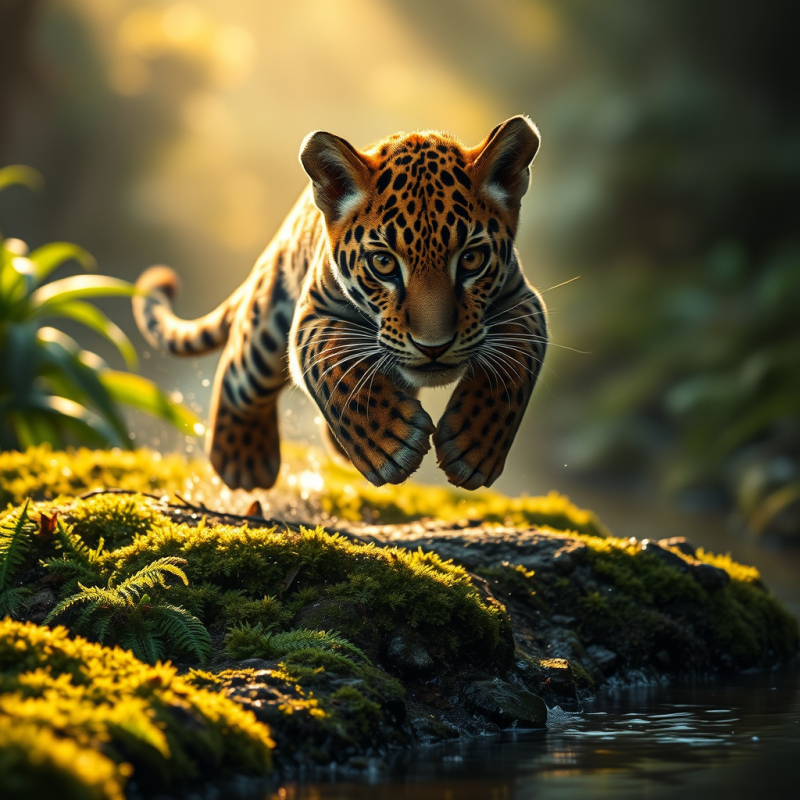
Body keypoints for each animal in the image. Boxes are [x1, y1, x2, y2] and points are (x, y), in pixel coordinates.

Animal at [133, 116, 548, 492]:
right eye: (383, 263)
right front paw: (389, 443)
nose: (434, 347)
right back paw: (243, 462)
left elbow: (515, 365)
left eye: (471, 260)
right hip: (268, 317)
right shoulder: (312, 314)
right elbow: (333, 362)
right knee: (239, 367)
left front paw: (474, 447)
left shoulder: (523, 299)